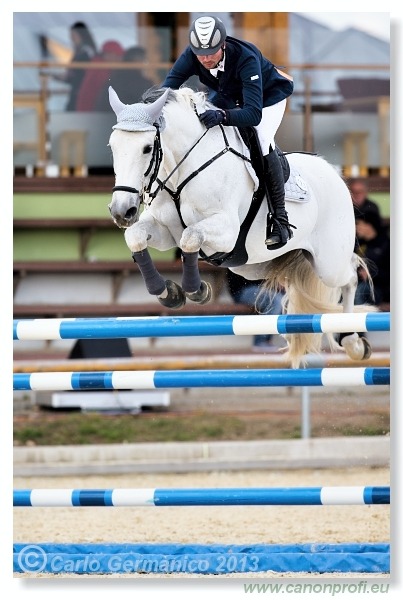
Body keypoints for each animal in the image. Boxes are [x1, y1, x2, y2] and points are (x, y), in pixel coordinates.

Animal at [107, 84, 372, 366]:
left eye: (147, 148)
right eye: (112, 146)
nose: (121, 211)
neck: (183, 169)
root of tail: (334, 173)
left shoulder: (226, 231)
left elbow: (191, 236)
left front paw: (196, 291)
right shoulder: (165, 230)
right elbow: (136, 237)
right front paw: (168, 292)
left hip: (328, 263)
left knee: (350, 277)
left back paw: (353, 341)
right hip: (253, 266)